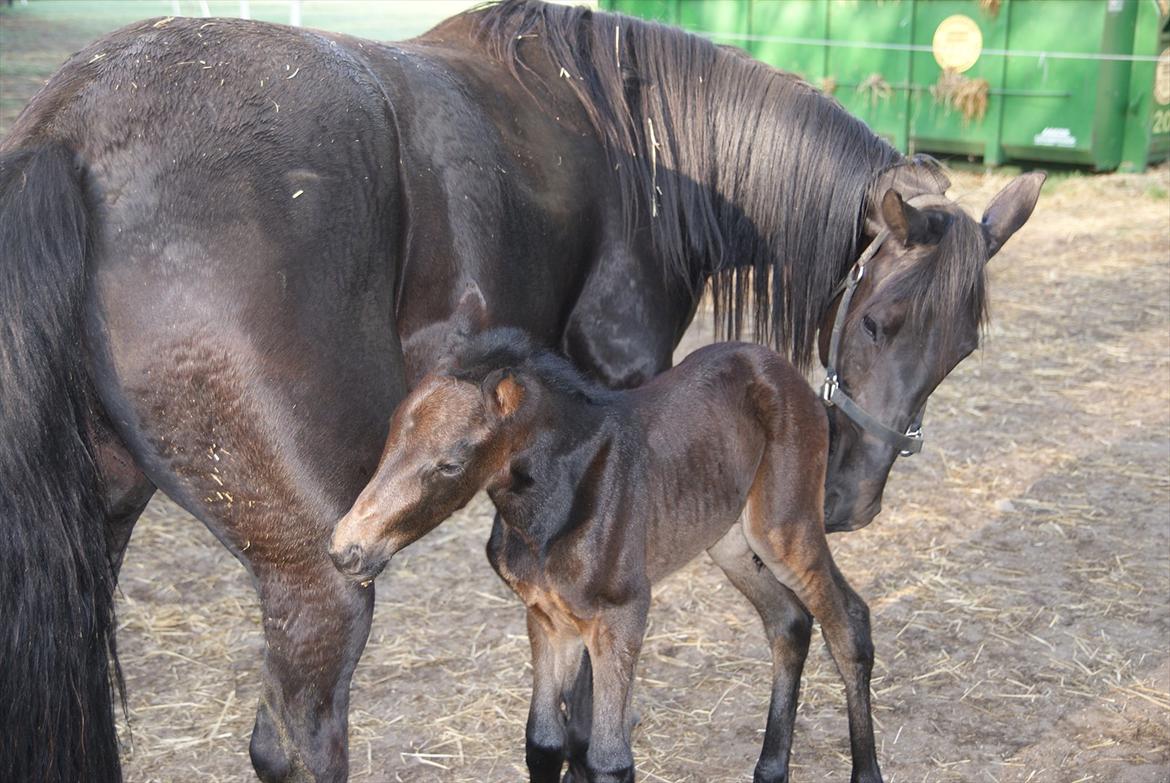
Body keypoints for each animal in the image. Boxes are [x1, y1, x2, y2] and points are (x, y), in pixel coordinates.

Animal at [329, 330, 879, 781]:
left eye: (450, 464)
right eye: (389, 440)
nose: (345, 550)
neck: (550, 510)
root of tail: (782, 370)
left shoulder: (621, 616)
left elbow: (610, 760)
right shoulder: (547, 618)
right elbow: (543, 743)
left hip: (783, 529)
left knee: (848, 622)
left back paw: (865, 772)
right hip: (730, 541)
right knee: (789, 622)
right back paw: (769, 769)